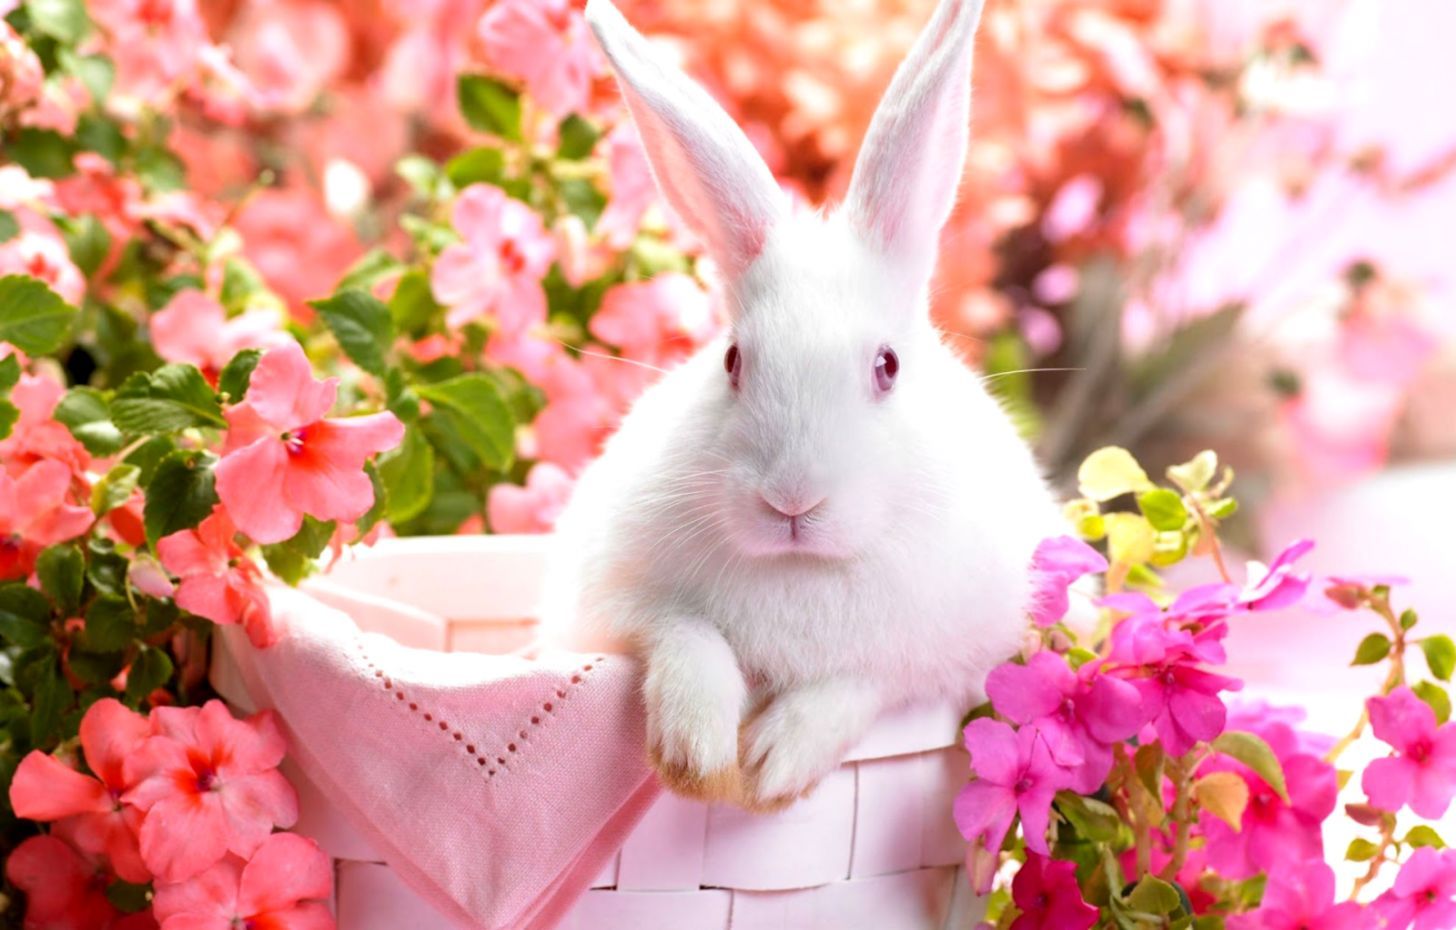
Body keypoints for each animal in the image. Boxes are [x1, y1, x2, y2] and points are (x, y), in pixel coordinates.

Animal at [542, 0, 1070, 811]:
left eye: (887, 367)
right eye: (733, 361)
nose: (791, 500)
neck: (802, 568)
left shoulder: (951, 654)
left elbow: (860, 682)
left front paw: (772, 763)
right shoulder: (609, 605)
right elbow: (684, 634)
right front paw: (697, 755)